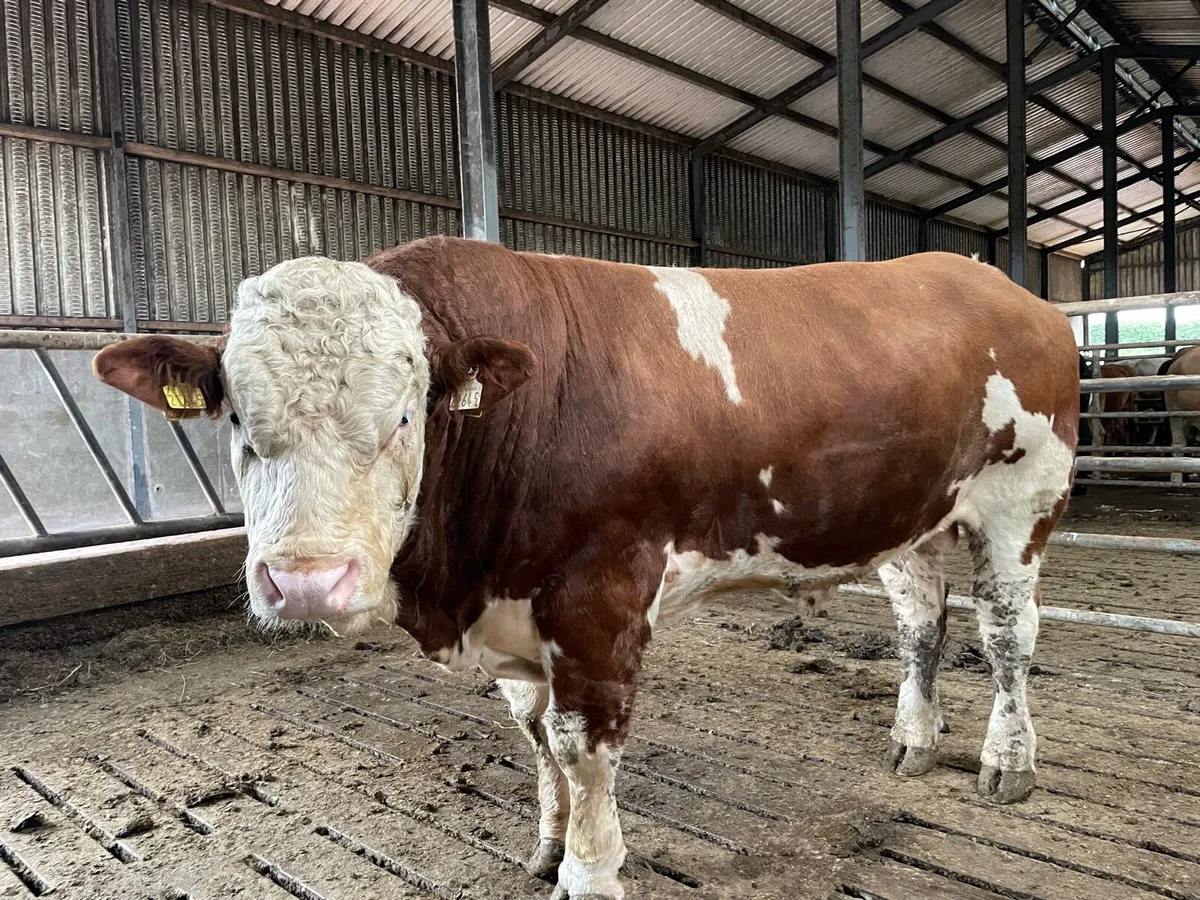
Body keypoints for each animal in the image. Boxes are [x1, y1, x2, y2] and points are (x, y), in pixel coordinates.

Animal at [92, 239, 1079, 900]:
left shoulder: (597, 601)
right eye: (234, 417)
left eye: (406, 416)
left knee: (1006, 636)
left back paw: (1008, 761)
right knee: (921, 624)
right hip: (912, 521)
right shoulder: (518, 611)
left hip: (1022, 498)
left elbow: (579, 745)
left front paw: (590, 868)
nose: (303, 581)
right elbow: (534, 735)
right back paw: (914, 739)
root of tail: (998, 283)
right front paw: (548, 840)